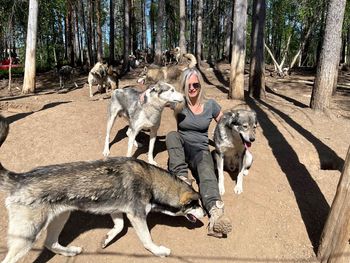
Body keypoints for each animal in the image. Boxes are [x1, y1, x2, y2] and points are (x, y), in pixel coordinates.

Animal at [0, 115, 205, 263]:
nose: (205, 215)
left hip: (60, 217)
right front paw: (159, 251)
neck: (150, 179)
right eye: (196, 205)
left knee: (50, 243)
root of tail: (20, 178)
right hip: (27, 236)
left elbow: (119, 226)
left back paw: (70, 251)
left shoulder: (116, 209)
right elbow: (147, 240)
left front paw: (107, 238)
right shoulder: (136, 216)